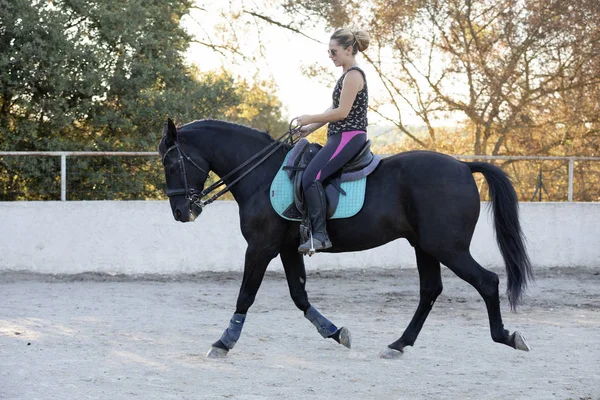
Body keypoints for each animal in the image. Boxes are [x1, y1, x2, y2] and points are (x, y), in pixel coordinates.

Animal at [159, 117, 536, 358]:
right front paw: (336, 333)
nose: (180, 211)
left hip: (447, 247)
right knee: (430, 290)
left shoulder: (261, 246)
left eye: (172, 163)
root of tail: (462, 165)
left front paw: (223, 342)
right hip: (425, 246)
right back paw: (398, 344)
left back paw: (507, 337)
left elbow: (246, 296)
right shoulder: (288, 248)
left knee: (486, 281)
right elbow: (299, 296)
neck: (262, 175)